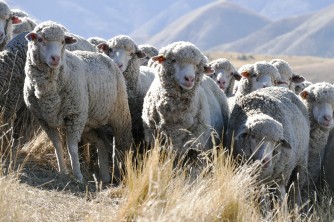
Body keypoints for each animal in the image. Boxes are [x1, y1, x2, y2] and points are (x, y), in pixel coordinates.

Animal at [23, 20, 133, 183]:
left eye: (63, 41)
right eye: (40, 39)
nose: (55, 58)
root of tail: (107, 58)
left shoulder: (75, 117)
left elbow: (72, 148)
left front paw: (78, 176)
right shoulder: (44, 119)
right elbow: (57, 145)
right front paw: (62, 171)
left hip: (119, 115)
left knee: (122, 145)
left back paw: (122, 174)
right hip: (90, 122)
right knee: (101, 143)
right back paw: (105, 177)